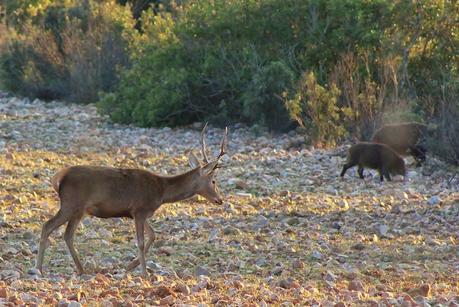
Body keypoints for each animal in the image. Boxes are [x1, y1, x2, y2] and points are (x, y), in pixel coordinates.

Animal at [35, 124, 229, 278]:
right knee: (47, 226)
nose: (220, 200)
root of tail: (58, 178)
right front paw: (144, 273)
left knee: (68, 235)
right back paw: (39, 269)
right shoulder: (140, 210)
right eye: (214, 180)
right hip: (71, 203)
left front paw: (130, 266)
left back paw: (81, 269)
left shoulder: (136, 213)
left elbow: (153, 235)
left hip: (79, 210)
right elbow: (141, 242)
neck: (162, 191)